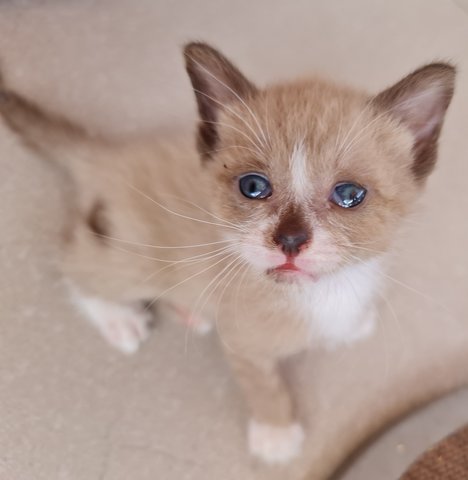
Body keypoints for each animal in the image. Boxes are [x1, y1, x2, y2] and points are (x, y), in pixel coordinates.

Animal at [0, 42, 454, 464]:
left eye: (348, 195)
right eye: (253, 187)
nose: (291, 240)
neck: (318, 293)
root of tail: (112, 153)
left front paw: (354, 325)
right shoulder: (242, 342)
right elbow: (264, 386)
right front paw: (276, 435)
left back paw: (189, 311)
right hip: (133, 260)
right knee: (71, 260)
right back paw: (118, 318)